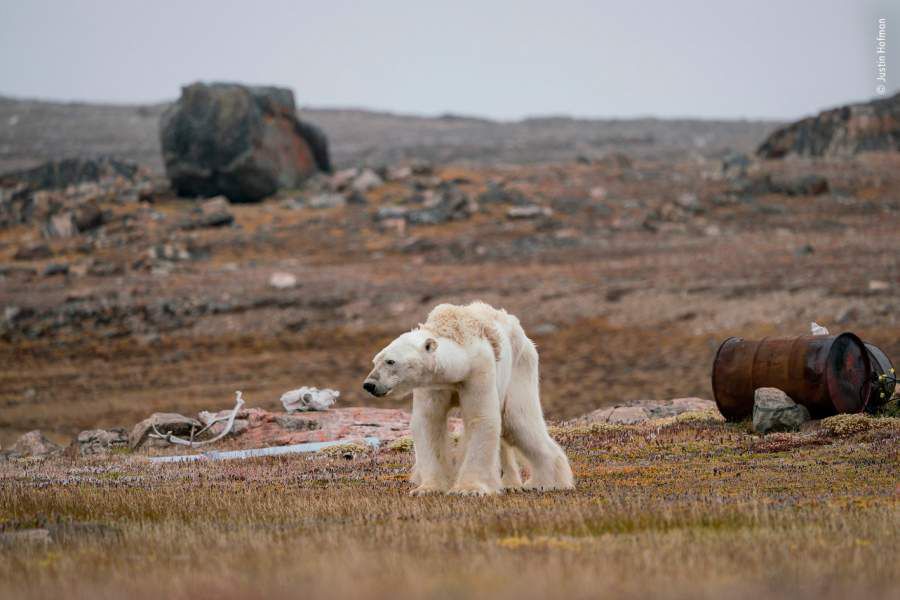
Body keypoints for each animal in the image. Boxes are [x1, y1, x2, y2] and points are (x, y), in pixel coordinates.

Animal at [362, 302, 572, 494]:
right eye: (375, 361)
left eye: (391, 361)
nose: (369, 384)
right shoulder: (433, 384)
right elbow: (428, 421)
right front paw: (428, 488)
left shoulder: (478, 370)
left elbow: (480, 418)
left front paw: (469, 489)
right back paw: (509, 482)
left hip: (520, 367)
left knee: (518, 421)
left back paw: (546, 482)